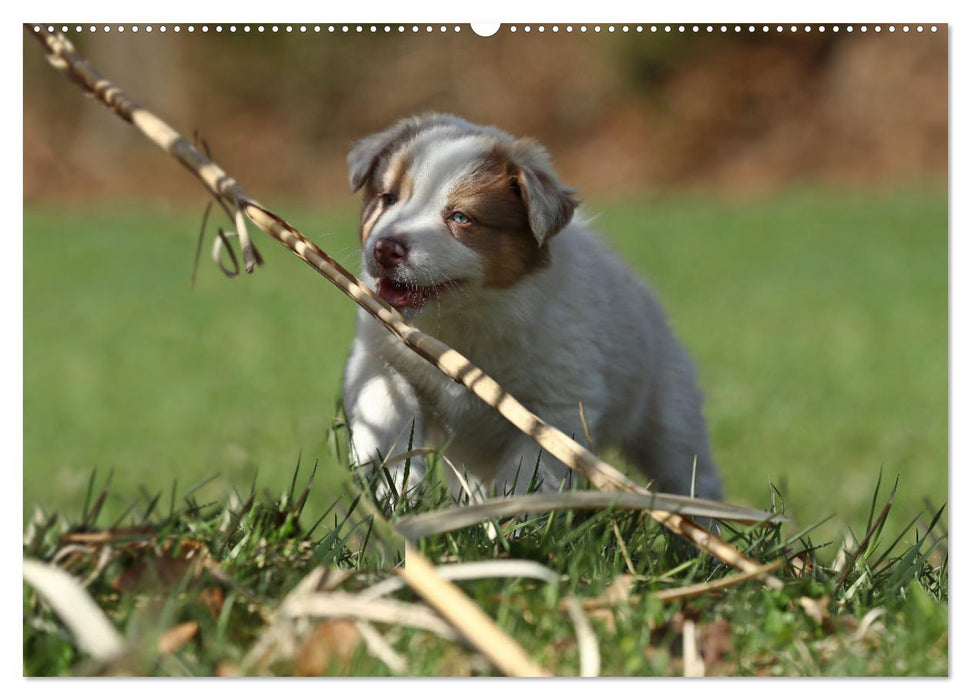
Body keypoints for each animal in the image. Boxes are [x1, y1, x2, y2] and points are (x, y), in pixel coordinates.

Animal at [342, 115, 720, 506]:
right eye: (388, 198)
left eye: (460, 217)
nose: (385, 249)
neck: (466, 314)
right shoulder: (380, 357)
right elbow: (384, 410)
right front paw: (392, 490)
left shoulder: (557, 404)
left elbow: (529, 472)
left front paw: (515, 514)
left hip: (669, 413)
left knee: (689, 471)